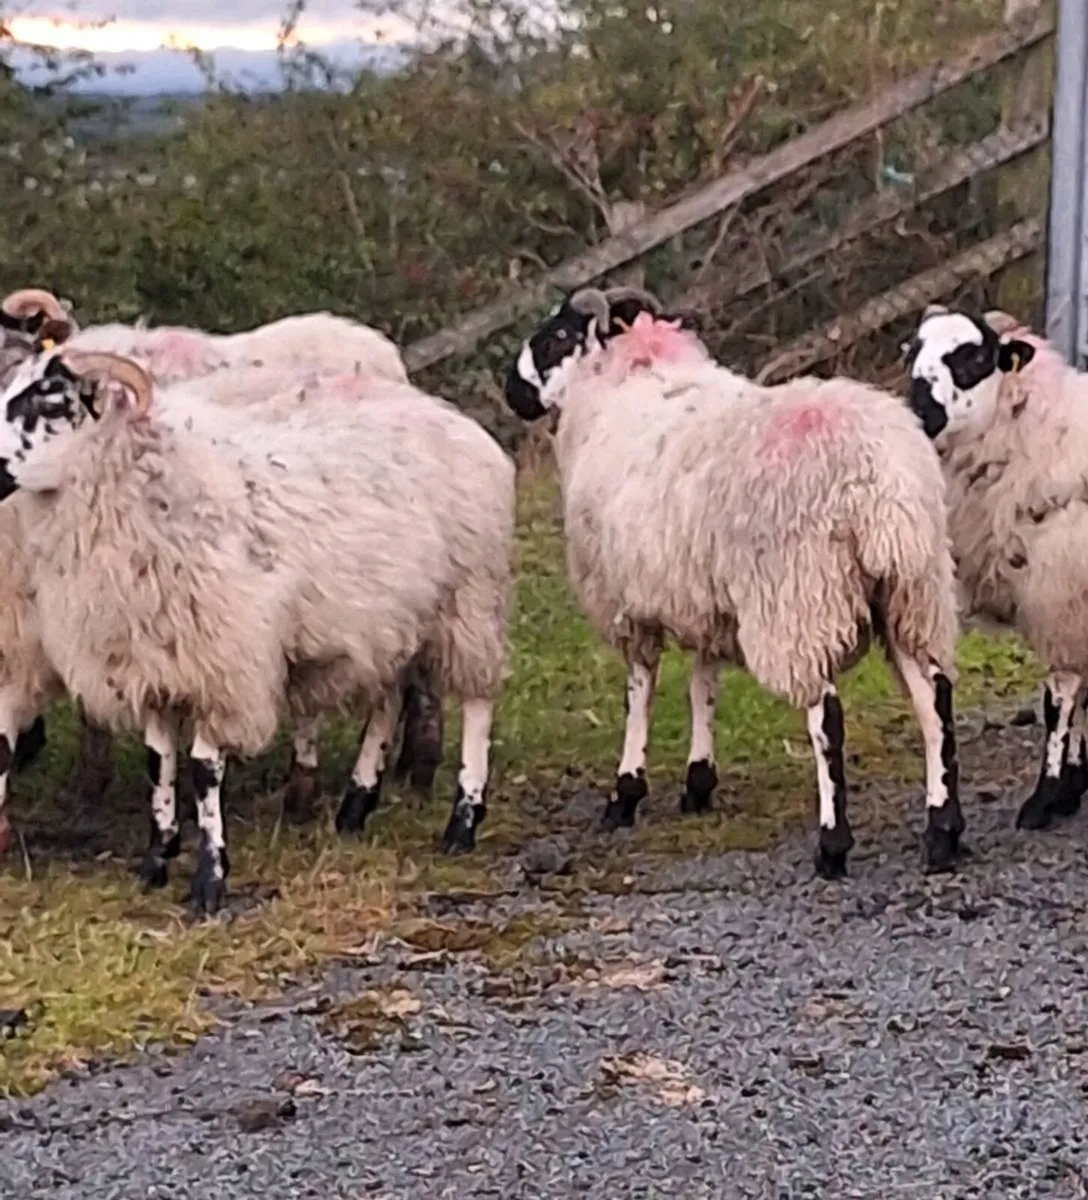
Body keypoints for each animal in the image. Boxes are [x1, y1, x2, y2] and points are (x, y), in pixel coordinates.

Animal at [0, 349, 514, 915]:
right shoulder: (151, 659)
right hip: (393, 618)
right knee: (389, 698)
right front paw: (156, 860)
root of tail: (457, 420)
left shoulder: (223, 662)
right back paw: (355, 807)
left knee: (478, 701)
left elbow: (204, 768)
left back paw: (462, 822)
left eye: (50, 399)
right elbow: (158, 761)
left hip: (471, 597)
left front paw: (210, 880)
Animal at [504, 285, 963, 878]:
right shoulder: (706, 601)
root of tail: (878, 481)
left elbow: (639, 692)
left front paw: (625, 793)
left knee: (828, 719)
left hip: (800, 601)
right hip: (910, 590)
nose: (511, 389)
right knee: (935, 701)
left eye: (557, 337)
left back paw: (833, 845)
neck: (615, 387)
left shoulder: (627, 603)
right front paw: (699, 781)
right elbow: (703, 686)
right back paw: (942, 831)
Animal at [905, 303, 1088, 832]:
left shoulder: (1061, 593)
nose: (919, 409)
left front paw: (1046, 798)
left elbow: (1059, 700)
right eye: (913, 351)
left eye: (973, 357)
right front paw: (1073, 786)